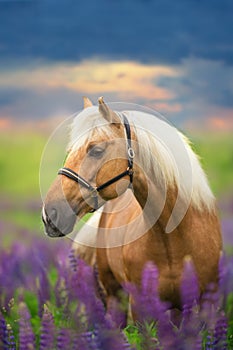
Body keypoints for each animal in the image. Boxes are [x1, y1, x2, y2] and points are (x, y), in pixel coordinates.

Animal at [41, 96, 222, 326]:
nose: (49, 214)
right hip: (114, 296)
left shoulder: (207, 304)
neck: (174, 240)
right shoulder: (140, 308)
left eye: (96, 150)